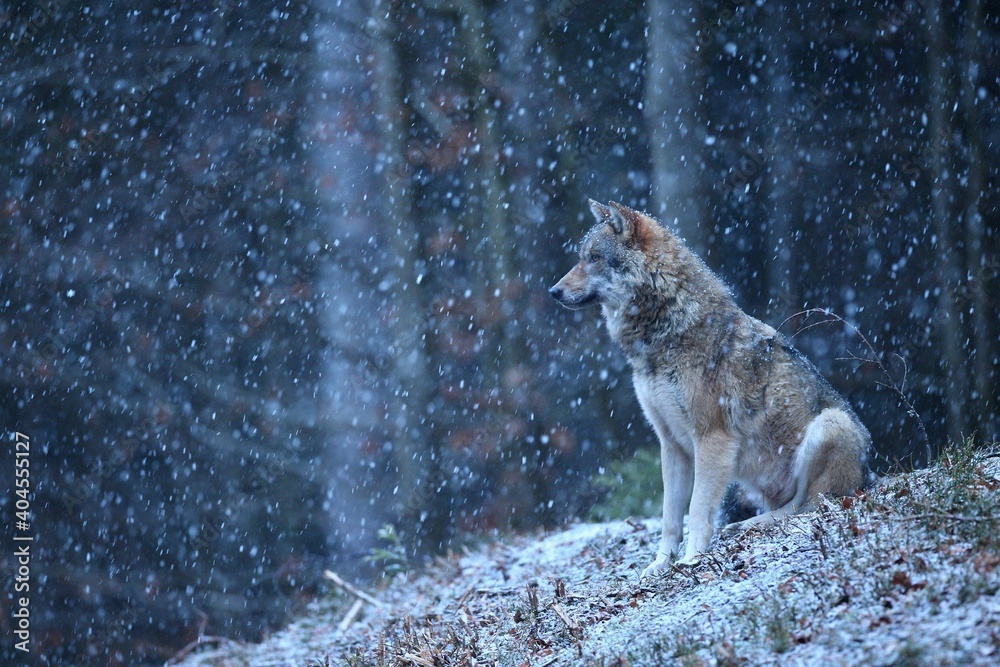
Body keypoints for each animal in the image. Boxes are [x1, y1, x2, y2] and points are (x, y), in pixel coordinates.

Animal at [550, 200, 870, 578]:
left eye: (595, 257)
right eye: (581, 257)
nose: (553, 291)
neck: (663, 333)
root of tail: (867, 477)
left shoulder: (712, 438)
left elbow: (698, 510)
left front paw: (691, 560)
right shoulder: (671, 444)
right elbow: (670, 517)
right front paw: (660, 565)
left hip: (830, 424)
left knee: (808, 505)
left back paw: (747, 525)